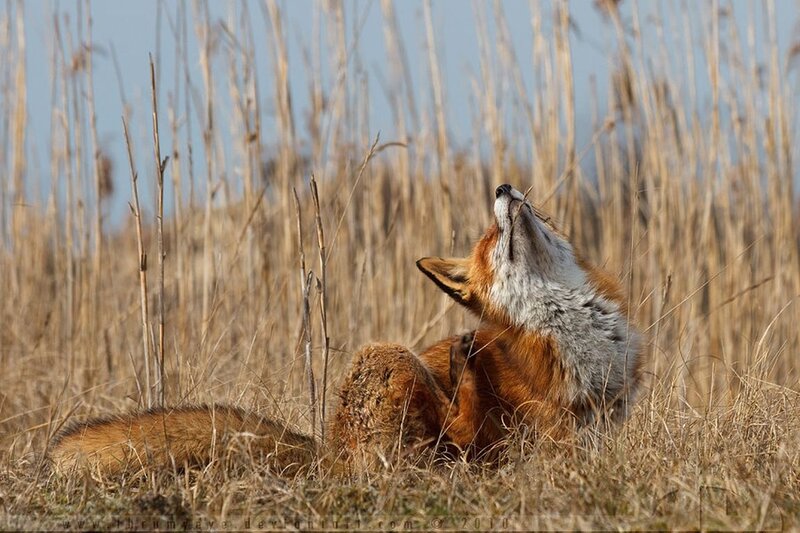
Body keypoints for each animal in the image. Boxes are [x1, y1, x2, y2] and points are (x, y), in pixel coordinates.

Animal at [49, 183, 643, 476]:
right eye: (490, 241)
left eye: (536, 216)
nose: (503, 186)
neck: (568, 324)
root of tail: (327, 451)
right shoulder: (548, 424)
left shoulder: (606, 414)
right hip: (393, 357)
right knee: (454, 438)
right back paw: (463, 371)